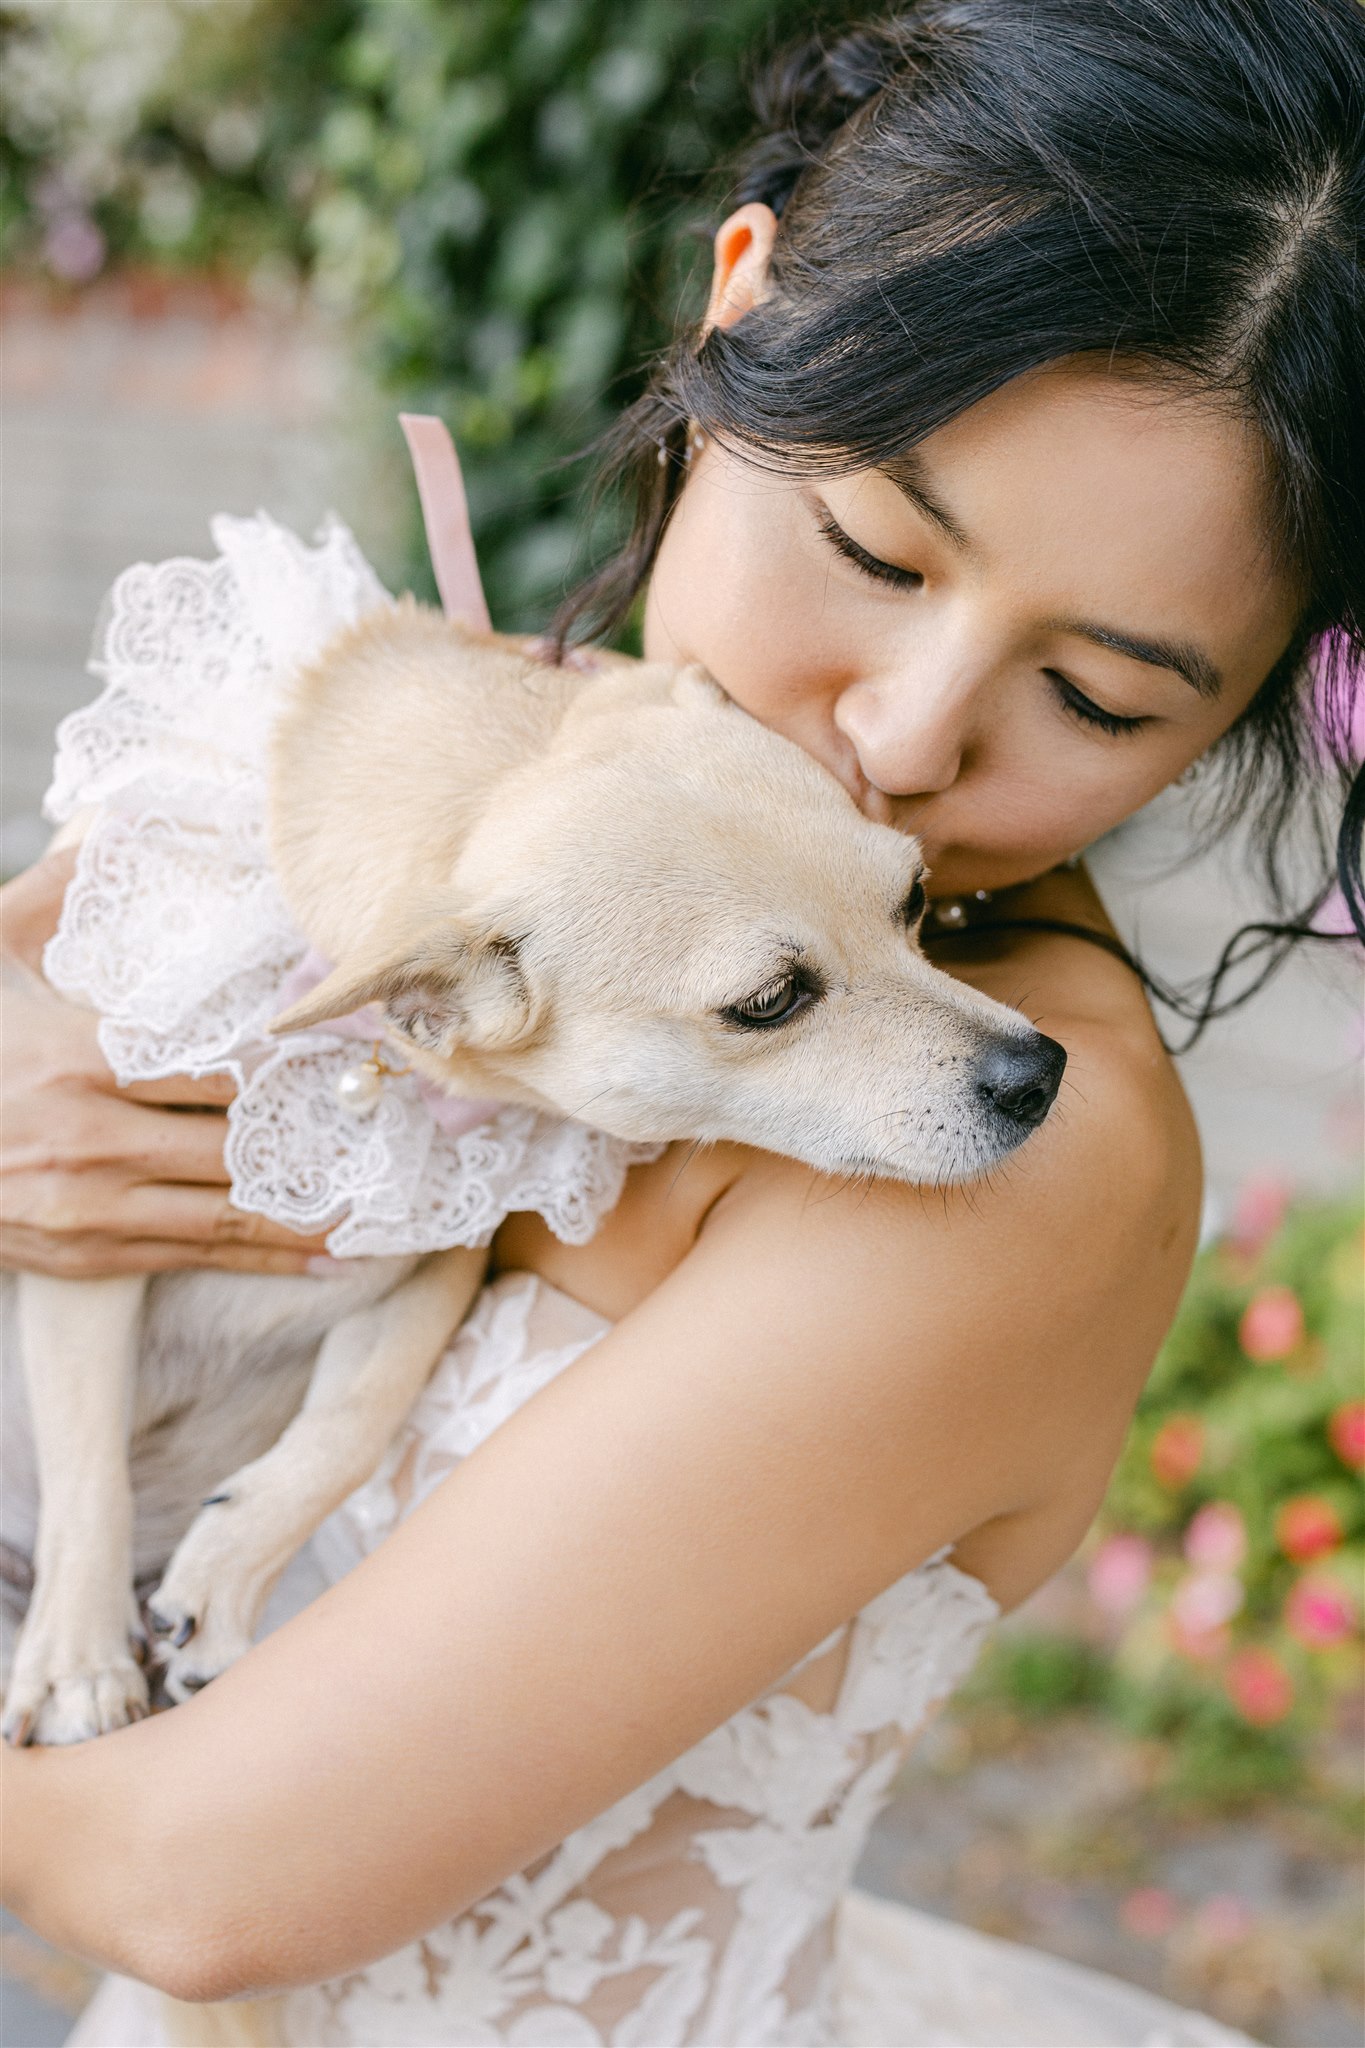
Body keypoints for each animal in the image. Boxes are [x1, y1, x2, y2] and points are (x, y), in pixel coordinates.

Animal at [2, 606, 1064, 1744]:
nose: (1042, 1072)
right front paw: (77, 1668)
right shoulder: (84, 1237)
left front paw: (225, 1577)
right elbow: (89, 1465)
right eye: (770, 1001)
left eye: (914, 900)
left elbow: (350, 1420)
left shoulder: (428, 1263)